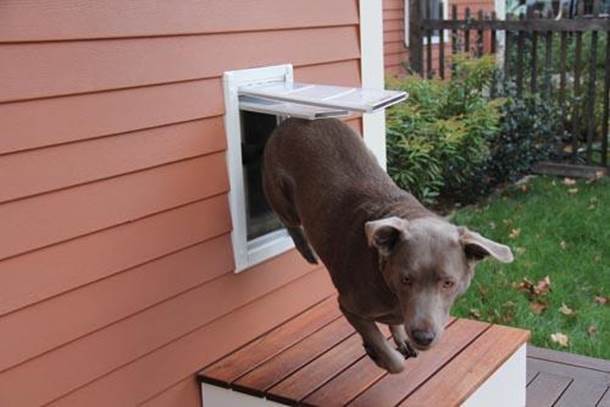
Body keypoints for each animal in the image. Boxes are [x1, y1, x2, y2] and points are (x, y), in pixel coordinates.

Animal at [262, 117, 512, 372]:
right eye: (406, 279)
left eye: (448, 283)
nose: (423, 337)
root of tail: (295, 120)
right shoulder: (349, 306)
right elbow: (392, 358)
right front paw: (378, 354)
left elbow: (395, 329)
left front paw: (400, 338)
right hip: (280, 193)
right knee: (288, 220)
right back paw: (306, 250)